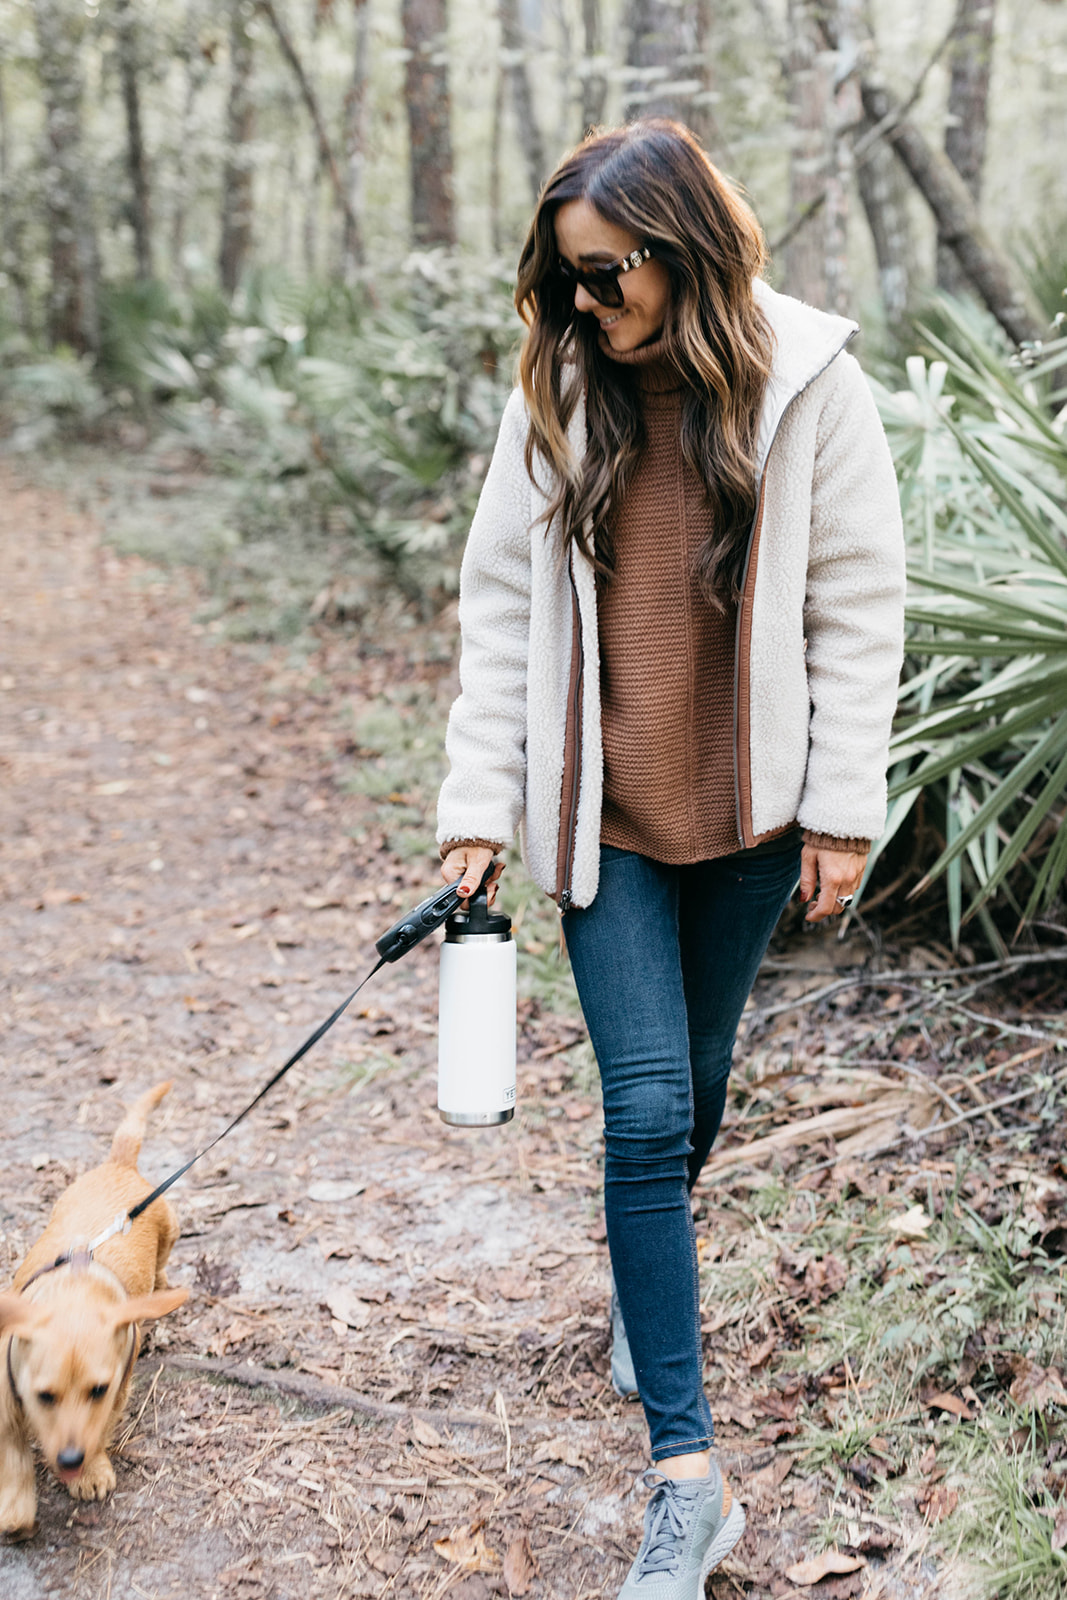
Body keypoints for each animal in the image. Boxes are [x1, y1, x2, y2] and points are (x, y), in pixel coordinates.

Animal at [0, 1081, 187, 1529]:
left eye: (97, 1390)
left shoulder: (116, 1392)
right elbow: (11, 1450)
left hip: (171, 1230)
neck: (74, 1287)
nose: (71, 1460)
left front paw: (92, 1472)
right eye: (45, 1396)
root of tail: (119, 1165)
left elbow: (100, 1428)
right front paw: (15, 1506)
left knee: (162, 1261)